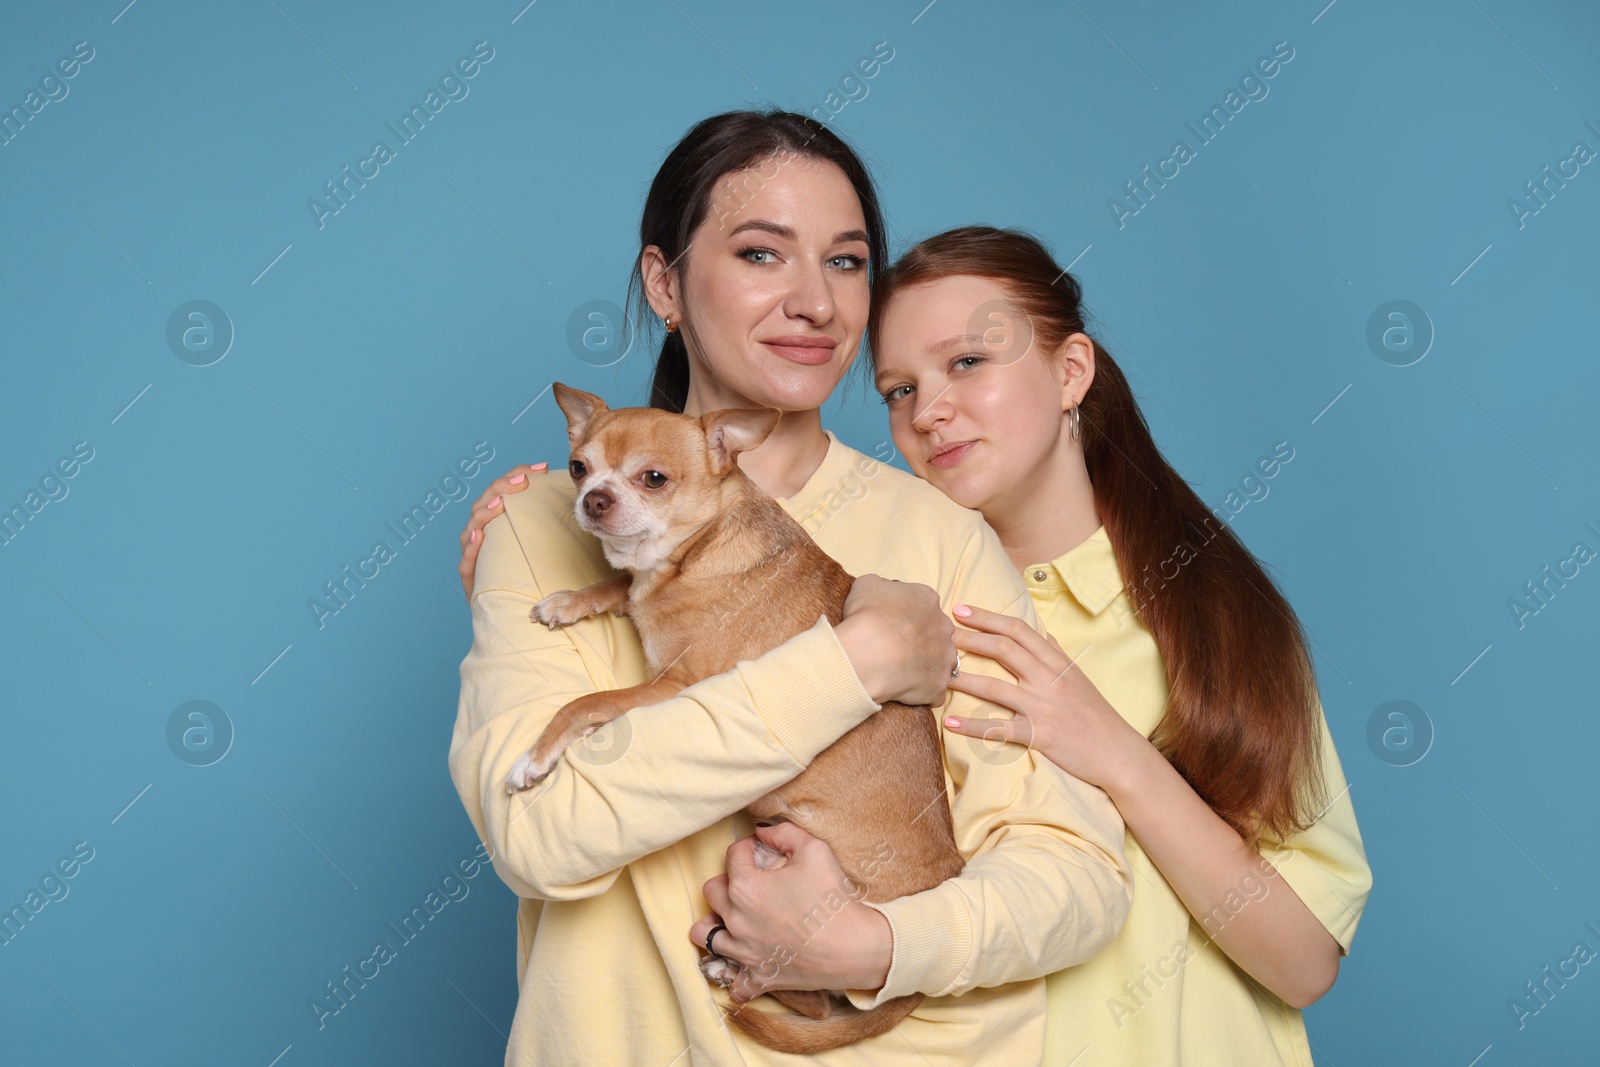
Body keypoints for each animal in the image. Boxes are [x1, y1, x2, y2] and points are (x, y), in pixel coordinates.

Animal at [505, 382, 966, 1049]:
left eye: (653, 478)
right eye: (577, 467)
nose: (594, 499)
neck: (692, 554)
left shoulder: (678, 688)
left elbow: (584, 704)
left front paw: (533, 759)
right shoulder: (645, 600)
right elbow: (619, 586)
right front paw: (570, 601)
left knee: (813, 1003)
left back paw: (733, 971)